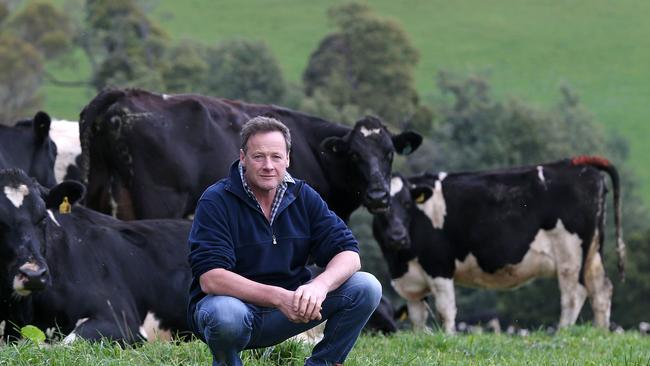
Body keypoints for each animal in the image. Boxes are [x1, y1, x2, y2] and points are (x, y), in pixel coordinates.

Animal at [78, 88, 420, 220]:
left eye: (389, 153)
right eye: (354, 155)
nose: (378, 195)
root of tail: (124, 95)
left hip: (97, 191)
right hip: (158, 201)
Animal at [372, 156, 624, 334]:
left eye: (407, 204)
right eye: (381, 208)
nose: (397, 236)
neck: (400, 261)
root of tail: (577, 164)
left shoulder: (439, 266)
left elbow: (445, 310)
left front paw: (448, 337)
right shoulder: (411, 284)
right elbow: (417, 318)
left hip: (570, 255)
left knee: (574, 294)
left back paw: (563, 332)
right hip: (593, 253)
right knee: (601, 289)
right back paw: (600, 333)